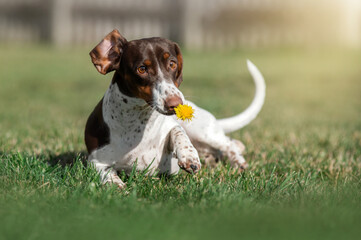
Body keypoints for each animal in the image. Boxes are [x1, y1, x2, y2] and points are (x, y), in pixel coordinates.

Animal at [84, 29, 264, 188]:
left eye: (172, 64)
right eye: (142, 69)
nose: (176, 103)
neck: (138, 125)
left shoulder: (172, 127)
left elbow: (177, 131)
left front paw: (189, 156)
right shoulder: (95, 161)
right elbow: (106, 172)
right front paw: (114, 184)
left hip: (202, 131)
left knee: (228, 143)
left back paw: (237, 162)